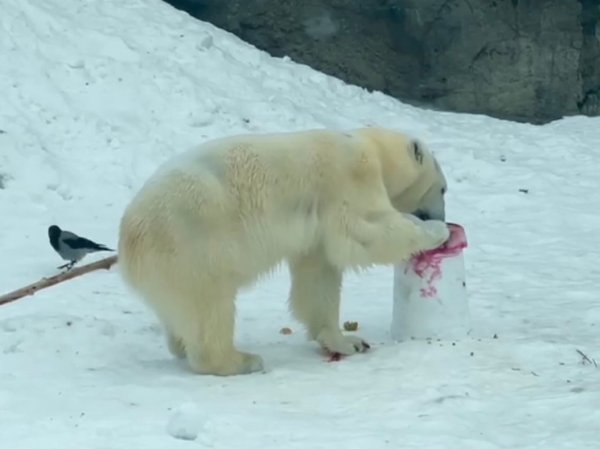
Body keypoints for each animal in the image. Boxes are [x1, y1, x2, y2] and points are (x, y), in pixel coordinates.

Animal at [118, 126, 450, 374]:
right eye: (444, 188)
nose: (442, 215)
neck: (370, 148)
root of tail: (128, 240)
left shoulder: (316, 230)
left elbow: (317, 275)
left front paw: (347, 341)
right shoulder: (348, 180)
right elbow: (364, 232)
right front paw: (437, 232)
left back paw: (181, 344)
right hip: (192, 244)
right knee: (208, 304)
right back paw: (241, 360)